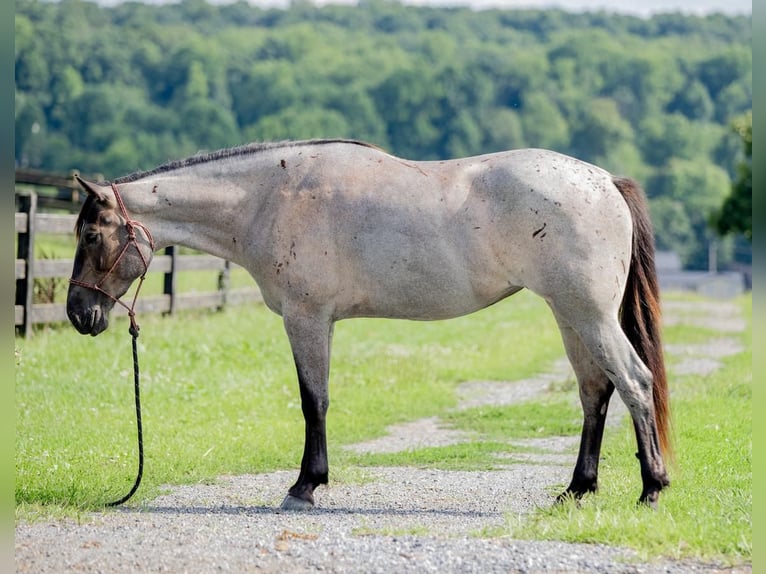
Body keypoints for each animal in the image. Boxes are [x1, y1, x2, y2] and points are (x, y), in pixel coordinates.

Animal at [69, 137, 676, 510]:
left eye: (92, 235)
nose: (79, 313)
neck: (271, 195)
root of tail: (605, 181)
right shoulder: (320, 321)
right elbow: (317, 399)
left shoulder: (307, 318)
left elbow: (313, 400)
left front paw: (305, 486)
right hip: (570, 315)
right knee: (596, 391)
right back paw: (577, 489)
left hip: (588, 315)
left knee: (634, 382)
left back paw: (652, 488)